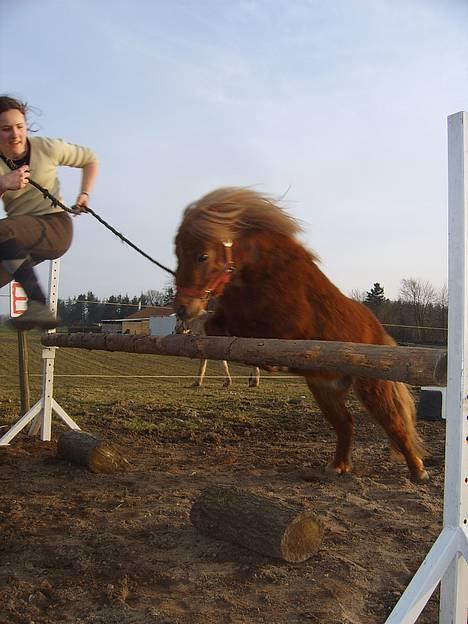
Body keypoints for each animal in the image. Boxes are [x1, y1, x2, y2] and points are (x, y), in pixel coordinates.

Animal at [175, 188, 428, 480]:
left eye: (202, 256)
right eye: (177, 253)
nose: (182, 308)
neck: (262, 273)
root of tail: (381, 334)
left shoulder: (284, 328)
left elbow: (251, 335)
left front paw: (266, 368)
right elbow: (217, 329)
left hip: (372, 387)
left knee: (394, 423)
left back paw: (418, 471)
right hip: (325, 390)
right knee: (346, 424)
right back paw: (338, 466)